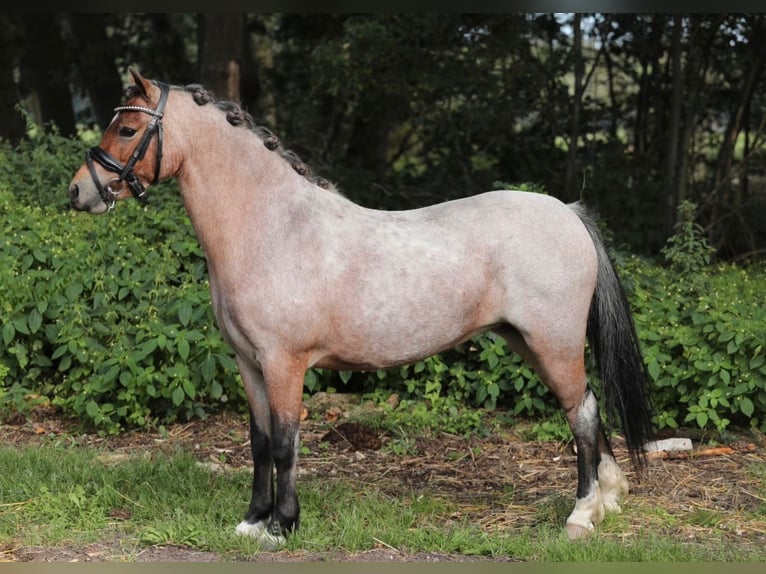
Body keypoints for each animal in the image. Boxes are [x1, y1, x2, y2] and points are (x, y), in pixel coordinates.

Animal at [67, 67, 654, 547]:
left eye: (126, 129)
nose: (79, 192)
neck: (273, 226)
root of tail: (568, 211)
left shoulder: (284, 363)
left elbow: (286, 442)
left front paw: (282, 526)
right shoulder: (248, 364)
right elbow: (259, 442)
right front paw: (252, 521)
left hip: (552, 343)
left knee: (580, 414)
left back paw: (580, 516)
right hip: (530, 343)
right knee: (589, 405)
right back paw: (609, 498)